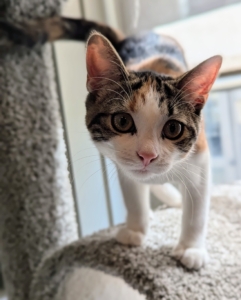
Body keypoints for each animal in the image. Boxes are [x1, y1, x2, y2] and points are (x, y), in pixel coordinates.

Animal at [0, 17, 222, 270]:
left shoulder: (200, 158)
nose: (147, 156)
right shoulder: (123, 163)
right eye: (122, 121)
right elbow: (132, 193)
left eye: (173, 129)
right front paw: (136, 229)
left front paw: (191, 249)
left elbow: (197, 209)